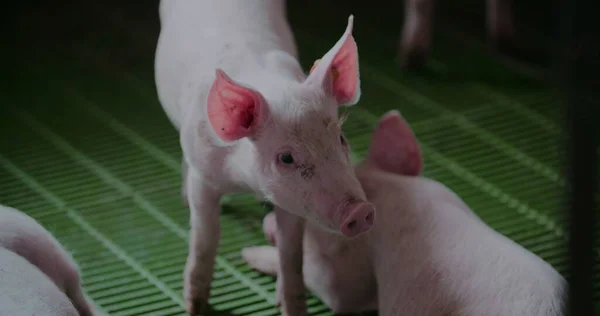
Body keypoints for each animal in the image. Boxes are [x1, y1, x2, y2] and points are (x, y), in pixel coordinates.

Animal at [154, 1, 376, 314]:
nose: (360, 211)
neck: (244, 182)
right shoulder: (204, 177)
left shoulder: (291, 200)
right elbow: (206, 238)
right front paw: (195, 306)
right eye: (286, 157)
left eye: (341, 139)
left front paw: (290, 306)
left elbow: (291, 251)